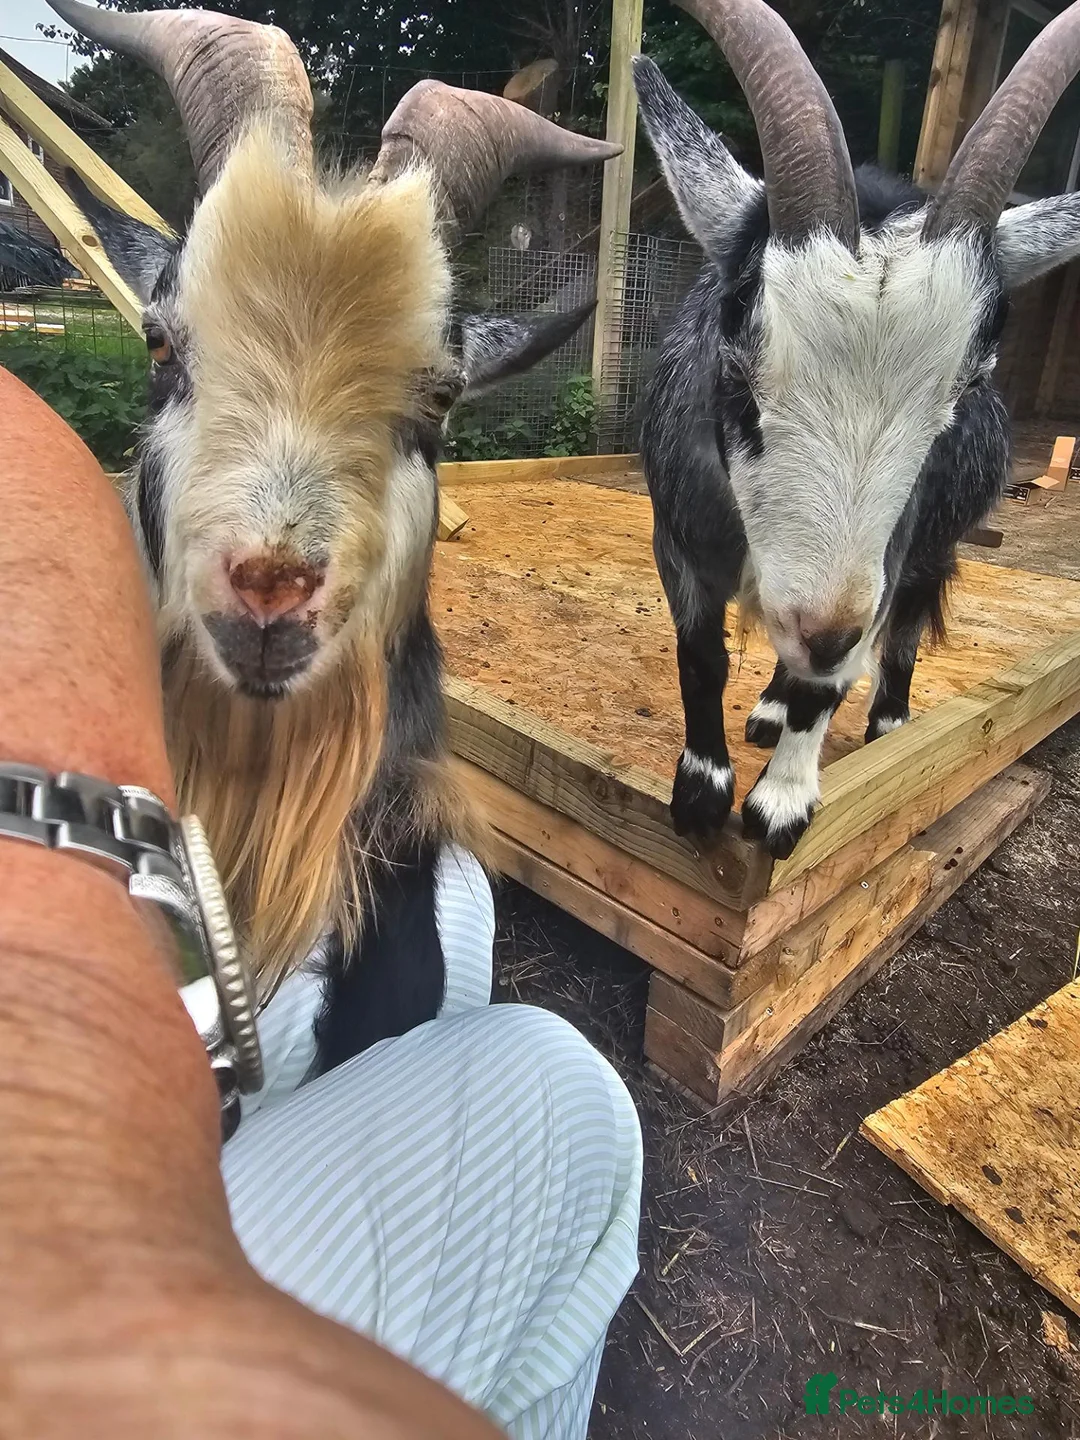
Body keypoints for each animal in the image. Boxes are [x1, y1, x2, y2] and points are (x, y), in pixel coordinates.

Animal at [635, 0, 1080, 860]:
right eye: (734, 354)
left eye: (969, 381)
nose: (823, 629)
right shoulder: (677, 535)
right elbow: (701, 655)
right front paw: (702, 791)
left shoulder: (884, 559)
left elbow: (831, 683)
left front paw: (780, 806)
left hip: (928, 547)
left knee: (902, 631)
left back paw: (885, 721)